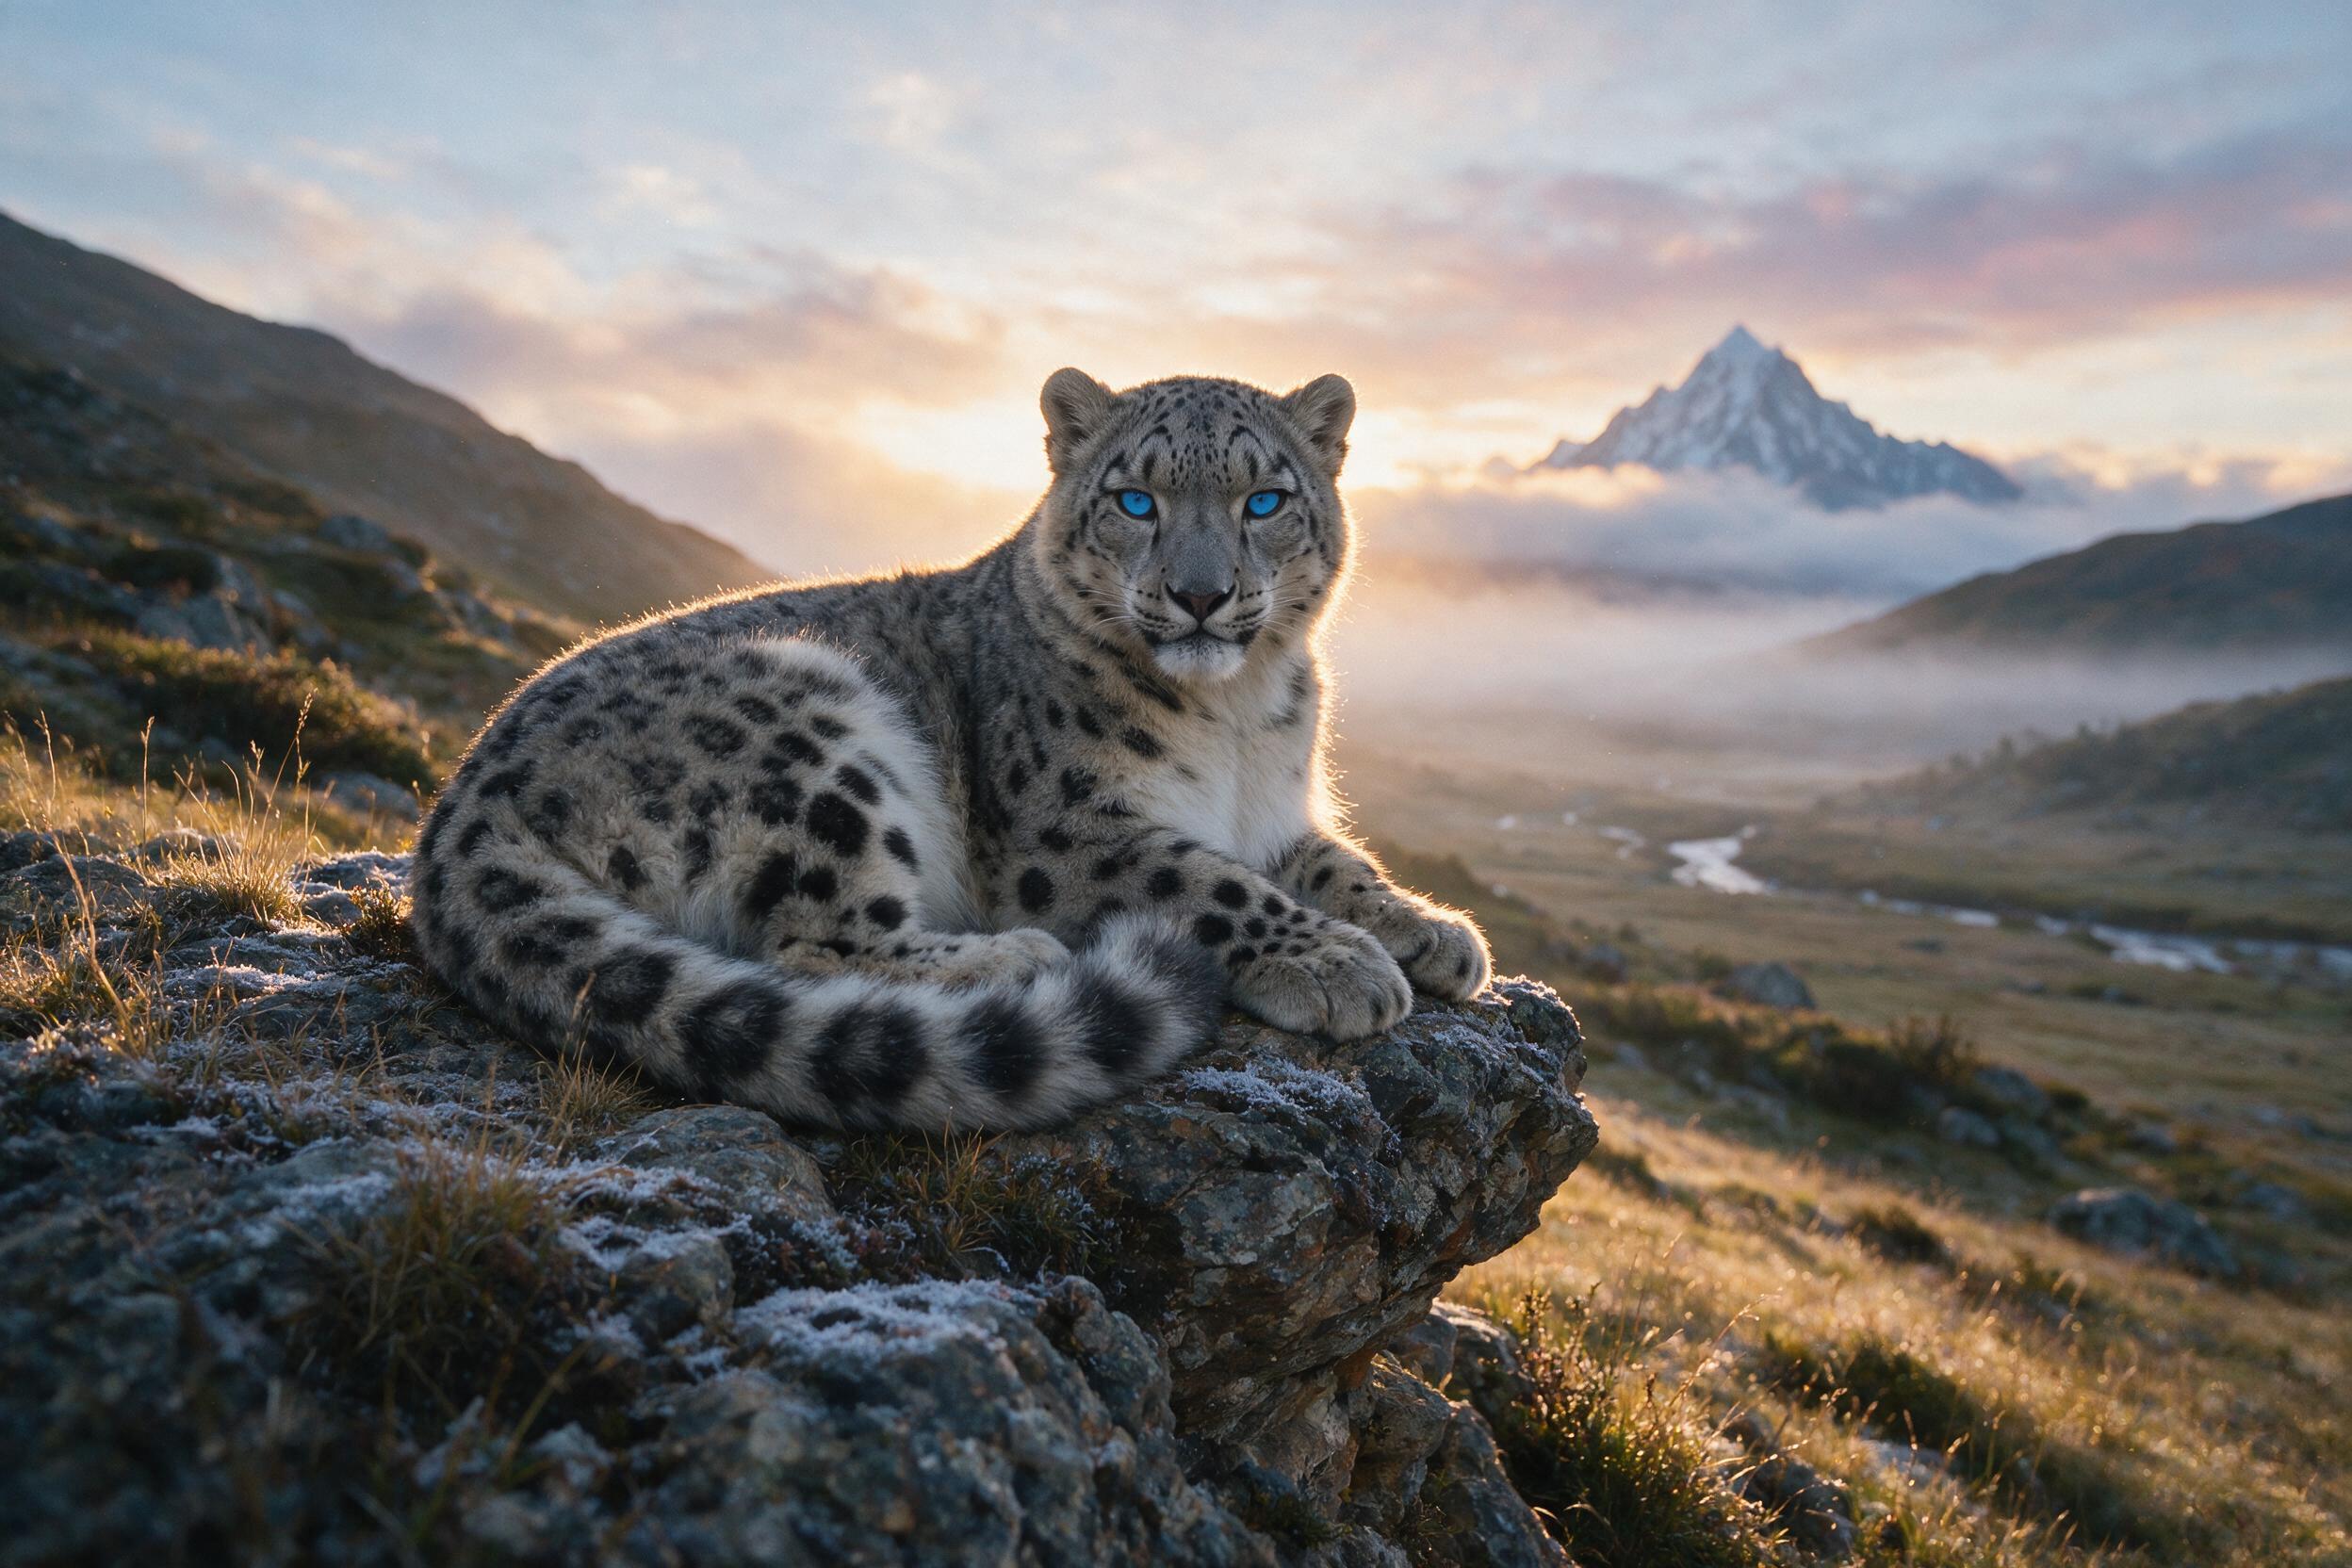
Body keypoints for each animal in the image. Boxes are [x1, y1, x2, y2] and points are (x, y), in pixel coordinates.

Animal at [409, 368, 1491, 1131]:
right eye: (1135, 500)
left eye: (1263, 500)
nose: (1200, 595)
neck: (1238, 717)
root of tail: (459, 806)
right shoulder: (1066, 832)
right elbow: (1210, 880)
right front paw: (1336, 963)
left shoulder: (1275, 812)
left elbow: (1336, 862)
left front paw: (1434, 930)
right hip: (815, 737)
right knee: (816, 943)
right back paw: (1013, 956)